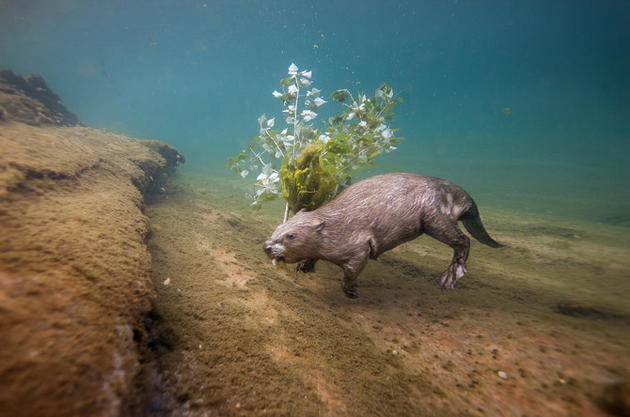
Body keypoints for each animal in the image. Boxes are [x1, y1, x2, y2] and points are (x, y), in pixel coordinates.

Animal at [264, 171, 506, 298]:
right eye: (277, 229)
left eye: (291, 235)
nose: (267, 246)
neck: (336, 223)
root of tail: (463, 197)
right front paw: (303, 267)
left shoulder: (357, 243)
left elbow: (353, 267)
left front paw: (351, 290)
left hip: (433, 217)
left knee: (463, 240)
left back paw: (449, 277)